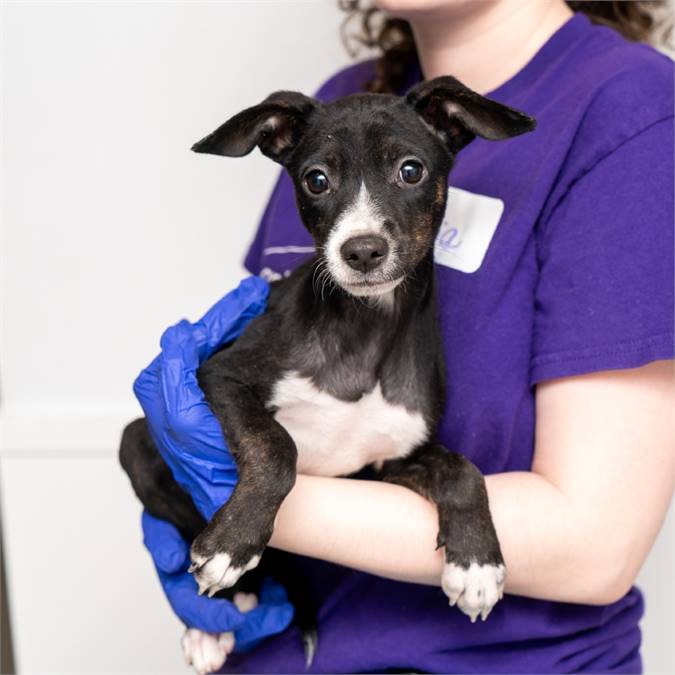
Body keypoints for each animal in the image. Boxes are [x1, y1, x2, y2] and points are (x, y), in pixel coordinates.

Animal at [119, 76, 536, 672]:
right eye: (316, 179)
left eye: (411, 170)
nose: (361, 251)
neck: (364, 329)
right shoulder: (220, 375)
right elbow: (277, 448)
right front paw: (231, 543)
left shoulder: (386, 463)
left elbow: (462, 469)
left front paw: (478, 562)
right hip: (138, 442)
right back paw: (212, 620)